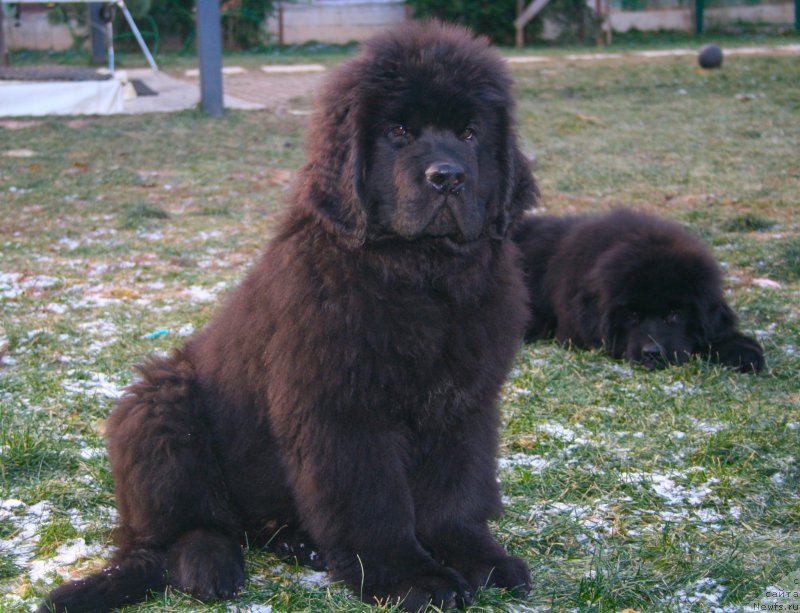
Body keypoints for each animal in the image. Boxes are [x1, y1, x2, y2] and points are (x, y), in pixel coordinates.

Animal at [43, 21, 540, 608]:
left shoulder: (464, 404)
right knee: (177, 533)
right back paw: (209, 564)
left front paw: (479, 558)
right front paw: (410, 577)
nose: (447, 177)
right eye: (398, 131)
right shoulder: (344, 412)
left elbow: (456, 494)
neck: (423, 276)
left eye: (468, 134)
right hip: (159, 407)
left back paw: (300, 544)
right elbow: (375, 503)